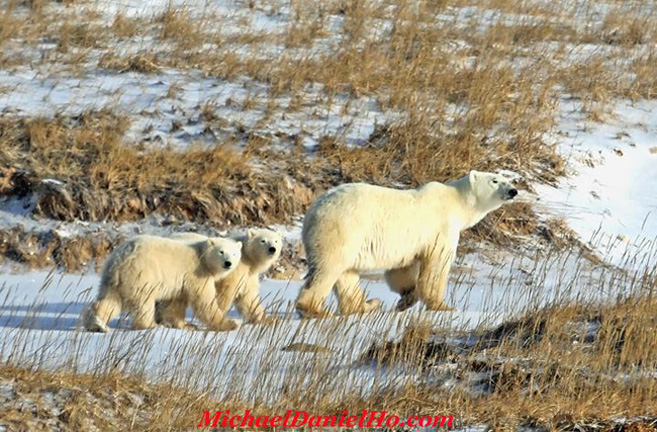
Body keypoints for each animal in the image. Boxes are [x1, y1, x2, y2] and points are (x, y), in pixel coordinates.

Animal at [82, 235, 241, 332]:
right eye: (221, 252)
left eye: (234, 253)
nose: (228, 263)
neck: (202, 256)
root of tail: (122, 258)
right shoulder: (197, 273)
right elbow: (204, 301)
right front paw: (231, 323)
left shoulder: (181, 282)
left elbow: (175, 304)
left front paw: (186, 325)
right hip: (141, 275)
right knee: (144, 303)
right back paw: (150, 325)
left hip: (112, 280)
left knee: (110, 301)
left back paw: (97, 324)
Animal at [298, 170, 516, 318]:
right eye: (495, 180)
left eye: (508, 180)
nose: (513, 191)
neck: (456, 202)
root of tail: (312, 212)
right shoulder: (441, 229)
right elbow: (437, 265)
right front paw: (443, 306)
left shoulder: (409, 244)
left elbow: (402, 269)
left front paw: (406, 299)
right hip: (343, 230)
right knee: (329, 269)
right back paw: (314, 309)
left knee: (347, 275)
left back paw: (367, 305)